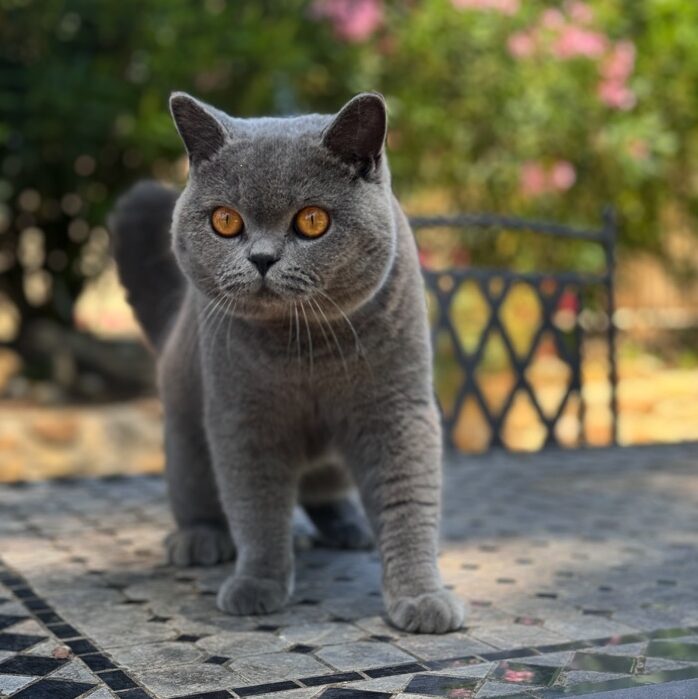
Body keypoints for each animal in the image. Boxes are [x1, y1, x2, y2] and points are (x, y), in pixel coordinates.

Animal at [111, 91, 464, 636]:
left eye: (312, 221)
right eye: (225, 221)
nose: (261, 259)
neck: (306, 349)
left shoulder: (398, 409)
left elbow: (409, 501)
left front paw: (422, 596)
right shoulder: (242, 416)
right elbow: (255, 505)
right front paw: (257, 583)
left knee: (323, 490)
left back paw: (350, 528)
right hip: (186, 431)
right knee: (201, 496)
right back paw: (201, 540)